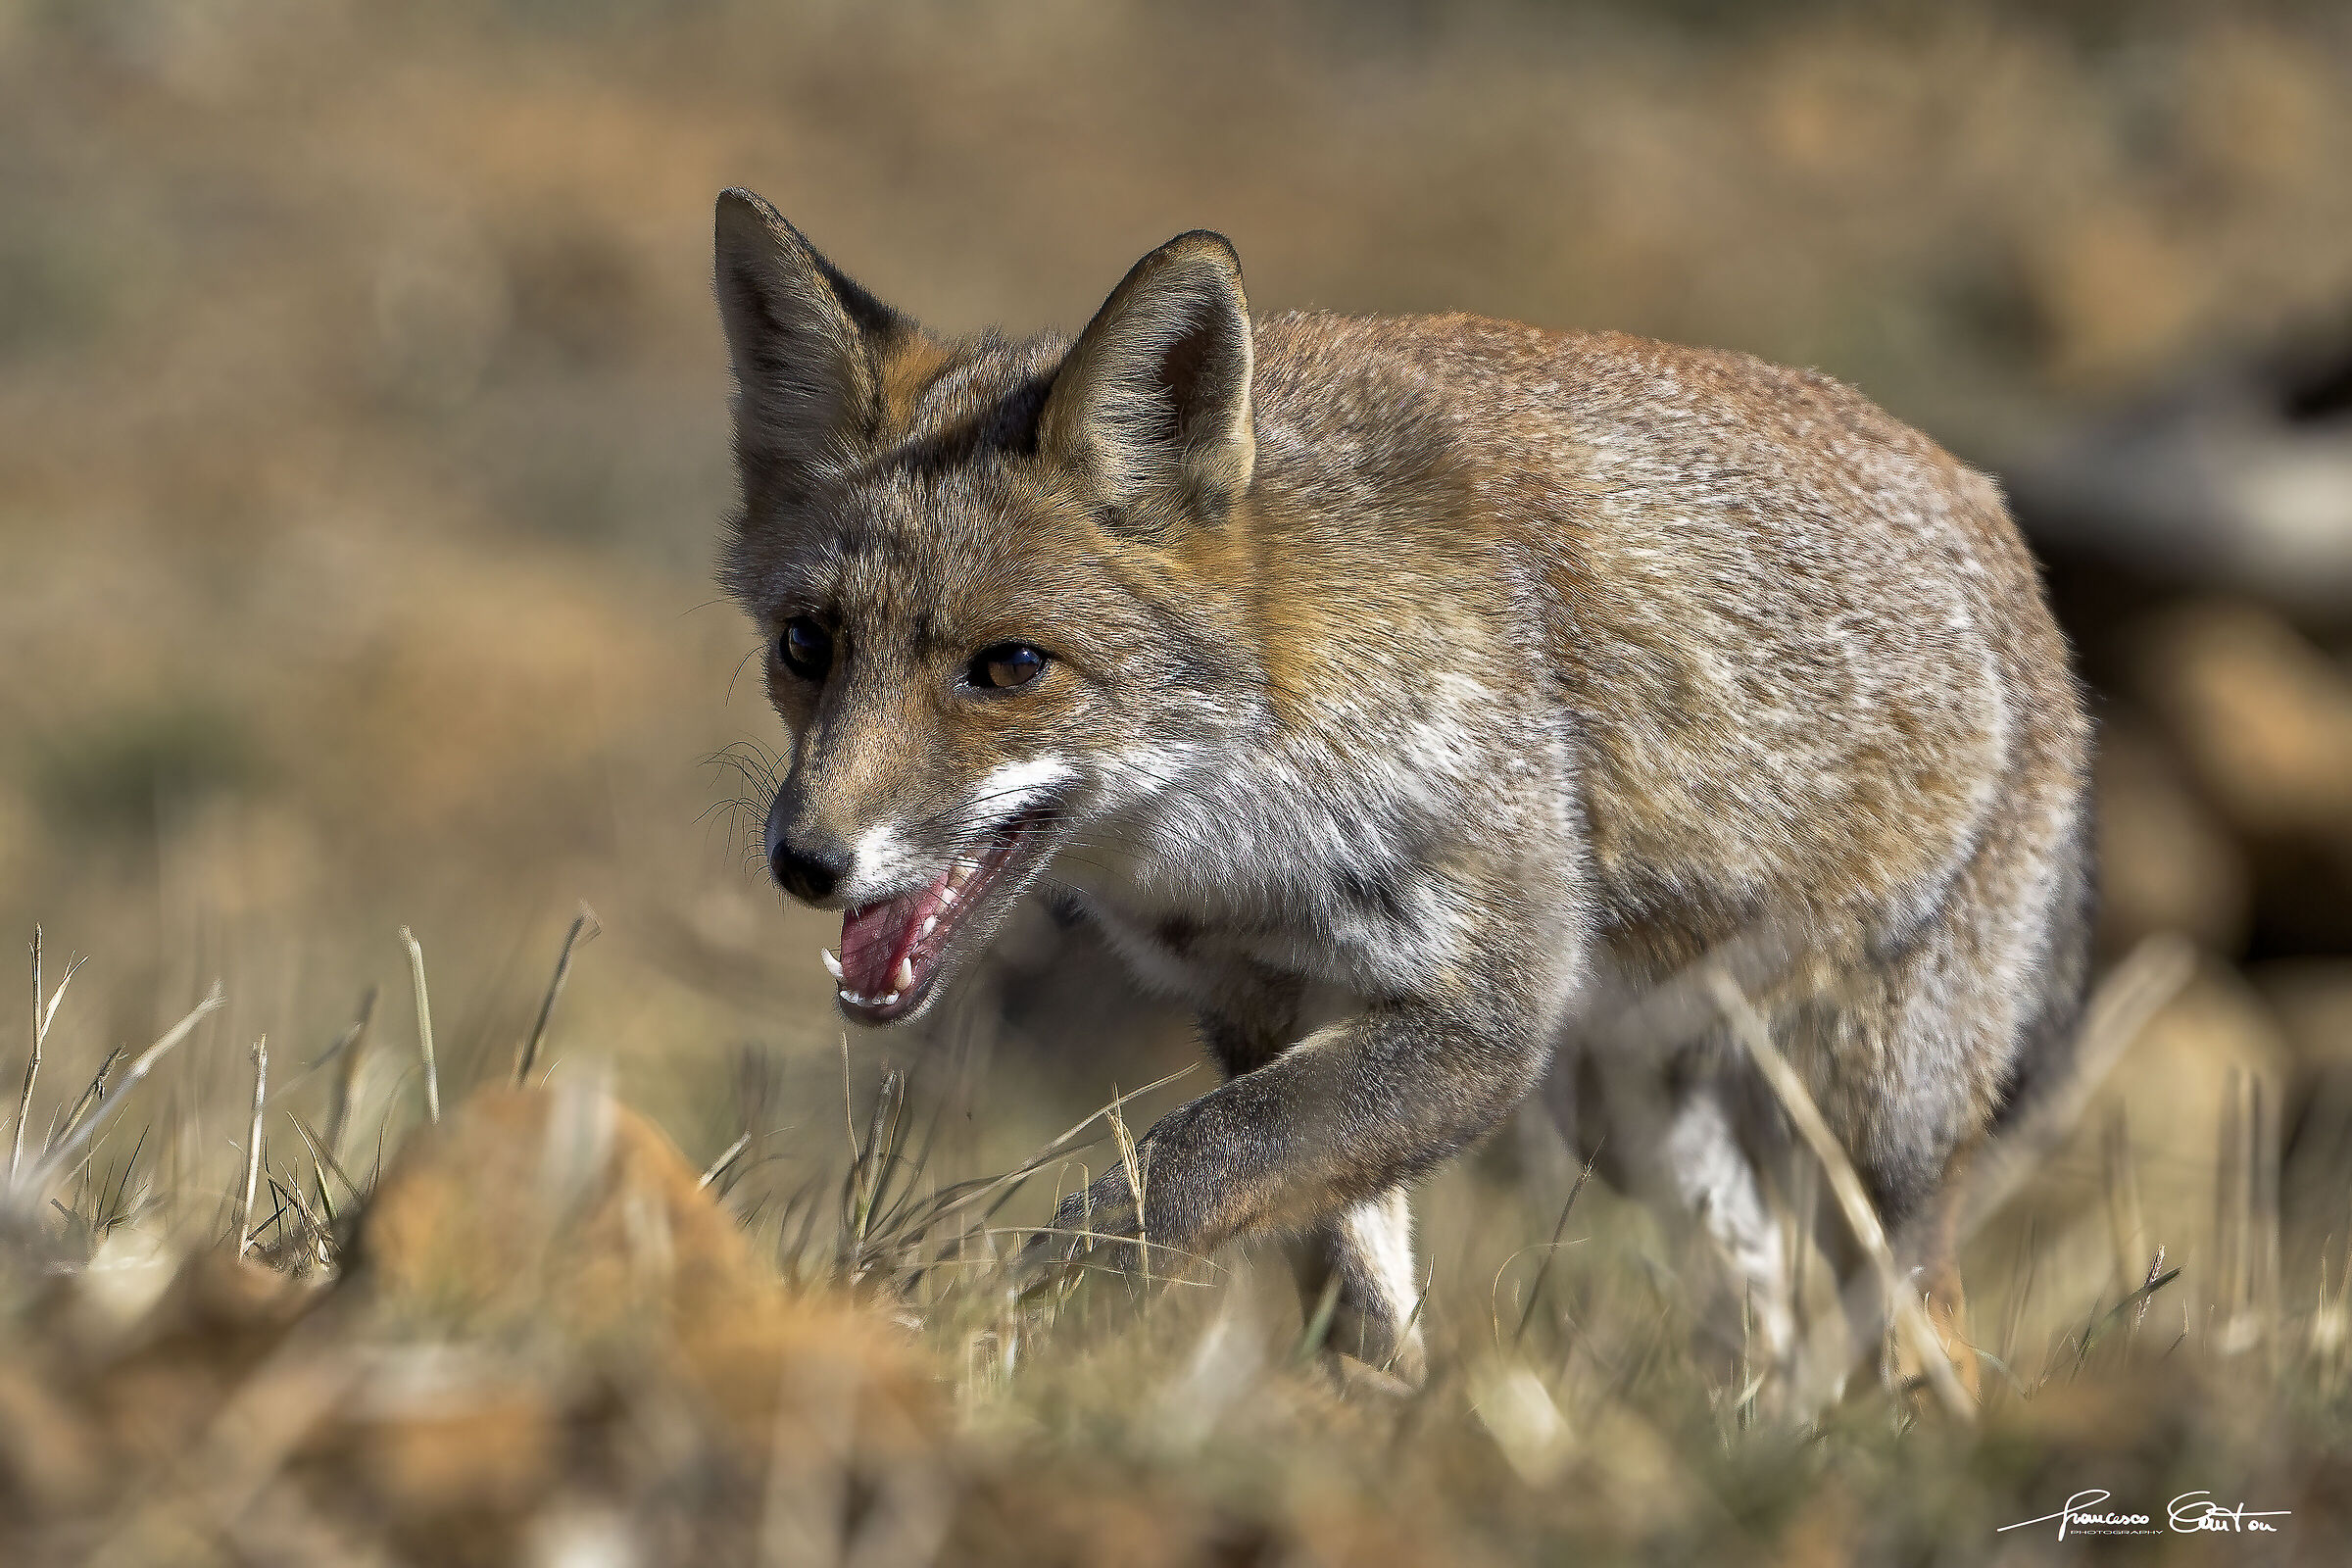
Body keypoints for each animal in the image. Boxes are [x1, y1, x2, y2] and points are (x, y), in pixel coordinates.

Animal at [712, 186, 2091, 1397]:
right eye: (805, 645)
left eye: (1008, 666)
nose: (806, 861)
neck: (1241, 819)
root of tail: (1991, 513)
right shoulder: (1266, 1006)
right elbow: (1349, 1287)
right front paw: (1373, 1425)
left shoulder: (1480, 1021)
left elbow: (1178, 1172)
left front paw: (1002, 1329)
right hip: (1633, 1118)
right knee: (1764, 1317)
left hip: (1875, 1120)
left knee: (1920, 1324)